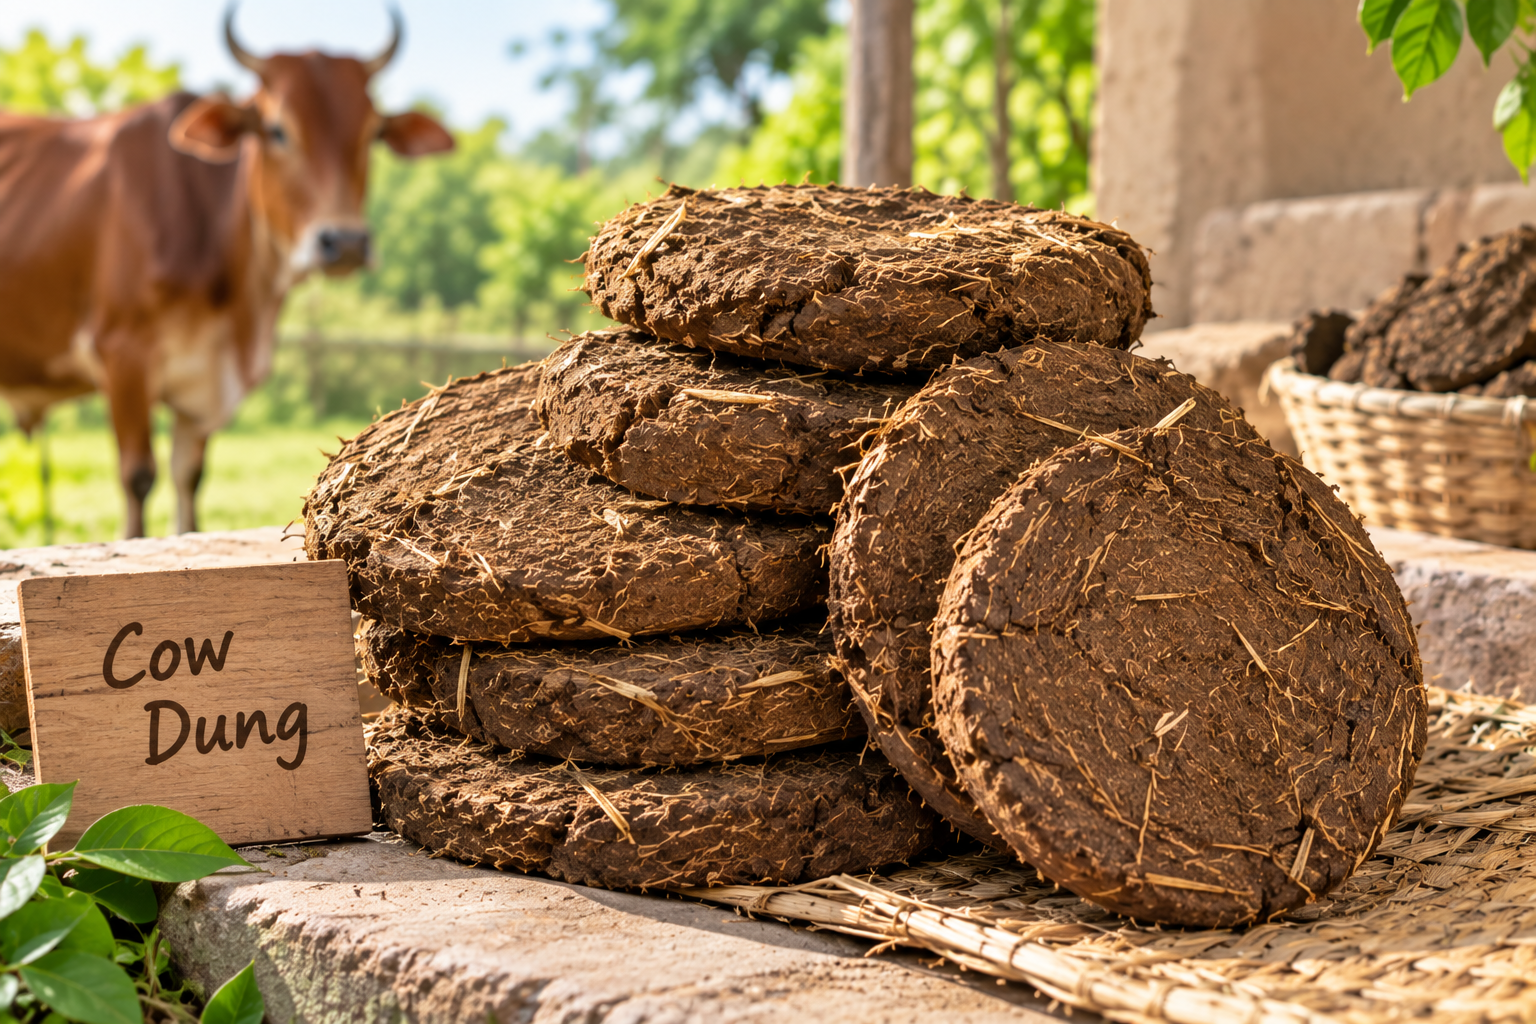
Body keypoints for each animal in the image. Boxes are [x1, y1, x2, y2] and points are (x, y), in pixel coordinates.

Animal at [0, 9, 453, 537]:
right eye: (277, 130)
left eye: (373, 134)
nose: (344, 242)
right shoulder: (121, 352)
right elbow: (137, 478)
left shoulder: (202, 390)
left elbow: (189, 479)